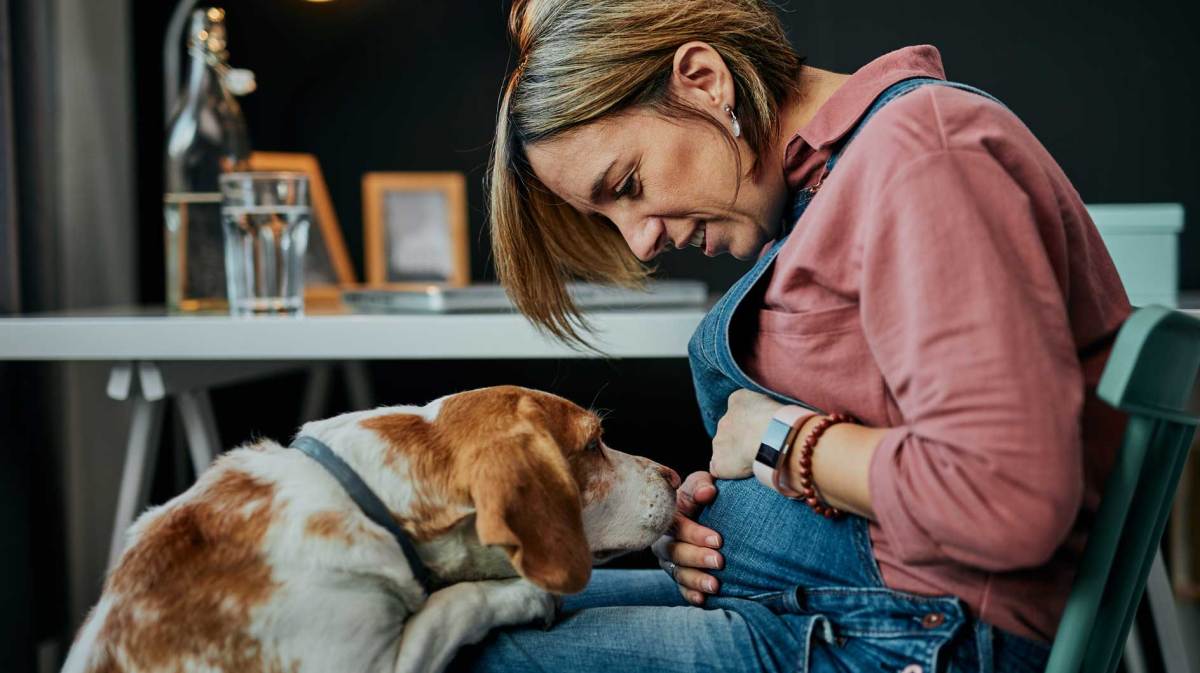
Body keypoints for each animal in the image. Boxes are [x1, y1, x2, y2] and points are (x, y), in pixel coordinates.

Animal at [63, 386, 686, 671]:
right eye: (593, 445)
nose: (676, 475)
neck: (363, 499)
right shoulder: (372, 663)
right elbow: (455, 604)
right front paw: (528, 595)